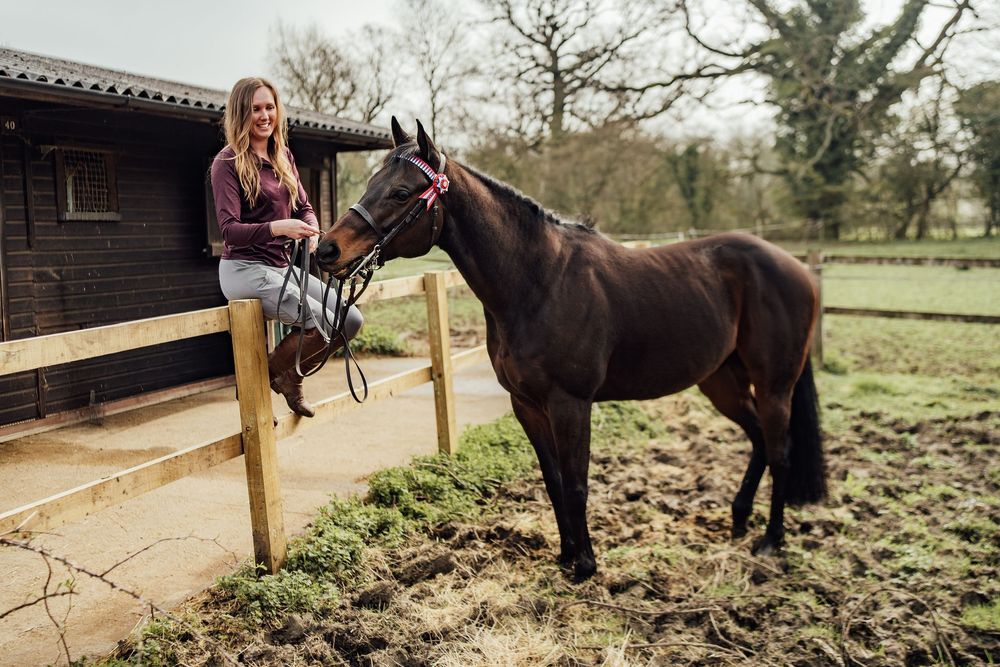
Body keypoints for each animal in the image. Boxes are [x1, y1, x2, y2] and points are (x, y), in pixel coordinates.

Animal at [316, 119, 826, 580]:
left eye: (402, 193)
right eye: (371, 183)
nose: (327, 250)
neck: (538, 280)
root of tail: (795, 267)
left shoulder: (571, 403)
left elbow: (578, 484)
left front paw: (585, 565)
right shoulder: (527, 405)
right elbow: (555, 481)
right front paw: (564, 556)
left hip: (774, 384)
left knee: (781, 450)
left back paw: (771, 542)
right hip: (721, 381)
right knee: (759, 440)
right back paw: (739, 520)